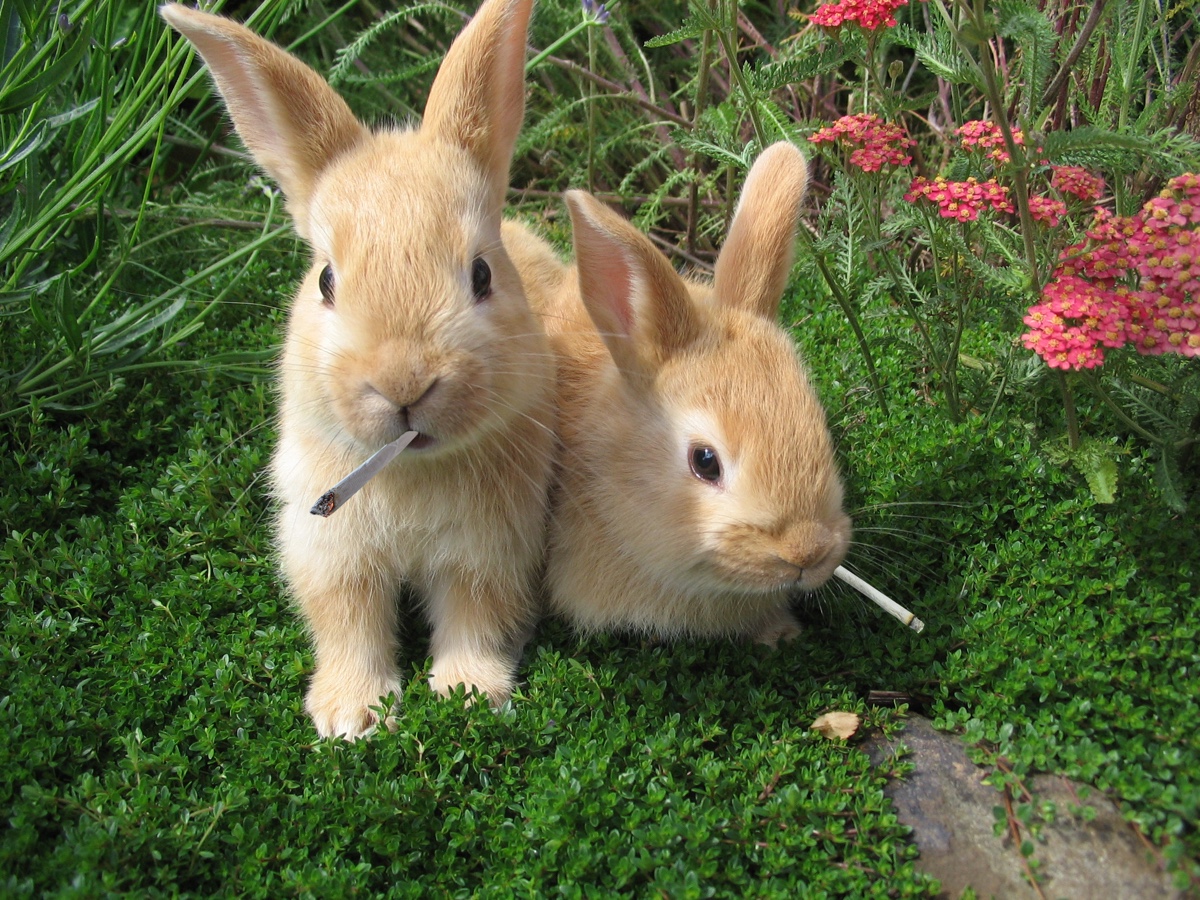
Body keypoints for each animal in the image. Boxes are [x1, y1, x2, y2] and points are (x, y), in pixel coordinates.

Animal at [161, 0, 557, 739]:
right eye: (325, 280)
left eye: (481, 275)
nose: (404, 385)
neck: (411, 469)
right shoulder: (331, 553)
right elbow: (348, 623)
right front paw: (351, 717)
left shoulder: (490, 552)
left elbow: (476, 618)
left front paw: (469, 695)